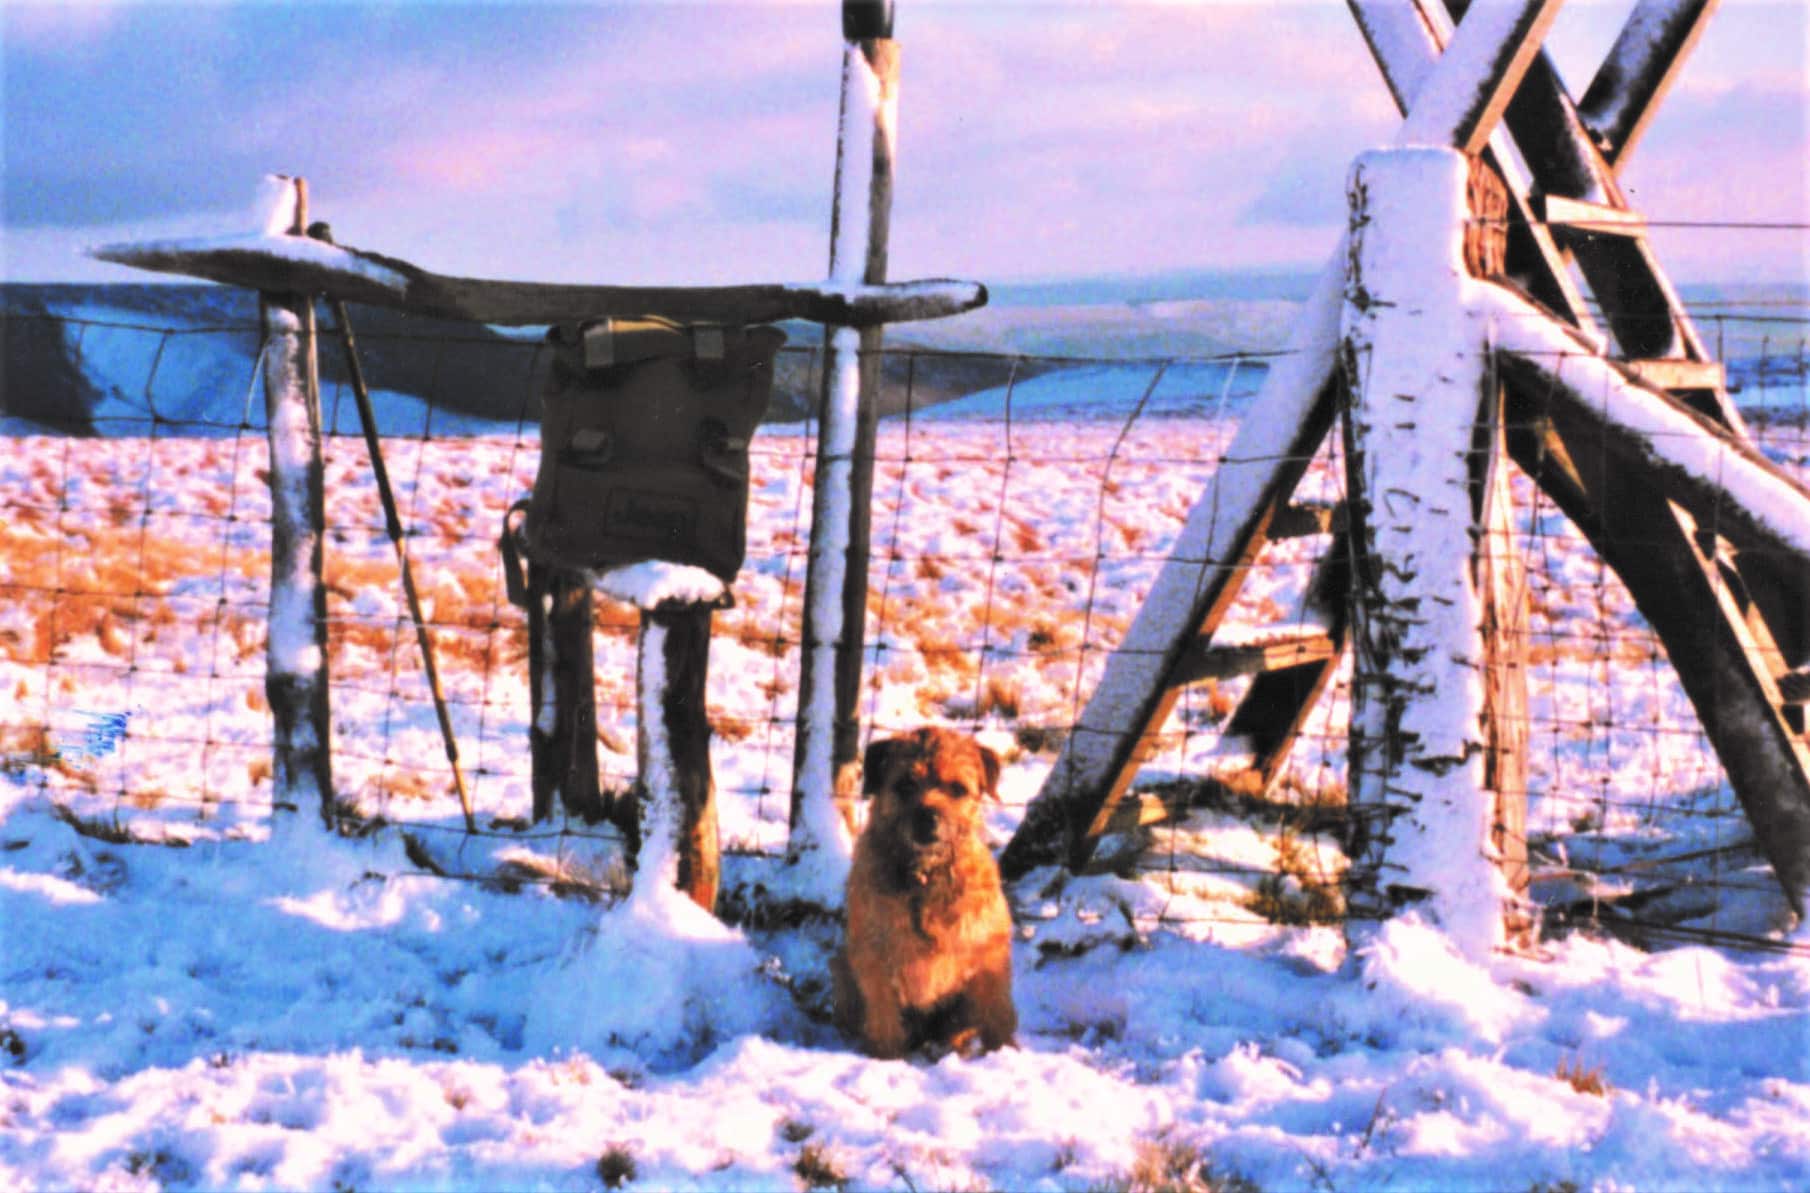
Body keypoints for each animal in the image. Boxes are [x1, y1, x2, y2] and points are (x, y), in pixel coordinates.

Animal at [832, 727, 1020, 1057]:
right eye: (906, 784)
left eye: (957, 789)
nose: (928, 817)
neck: (924, 877)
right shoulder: (874, 960)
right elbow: (884, 1020)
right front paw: (886, 1058)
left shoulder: (989, 955)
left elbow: (998, 1014)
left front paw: (1004, 1054)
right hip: (841, 967)